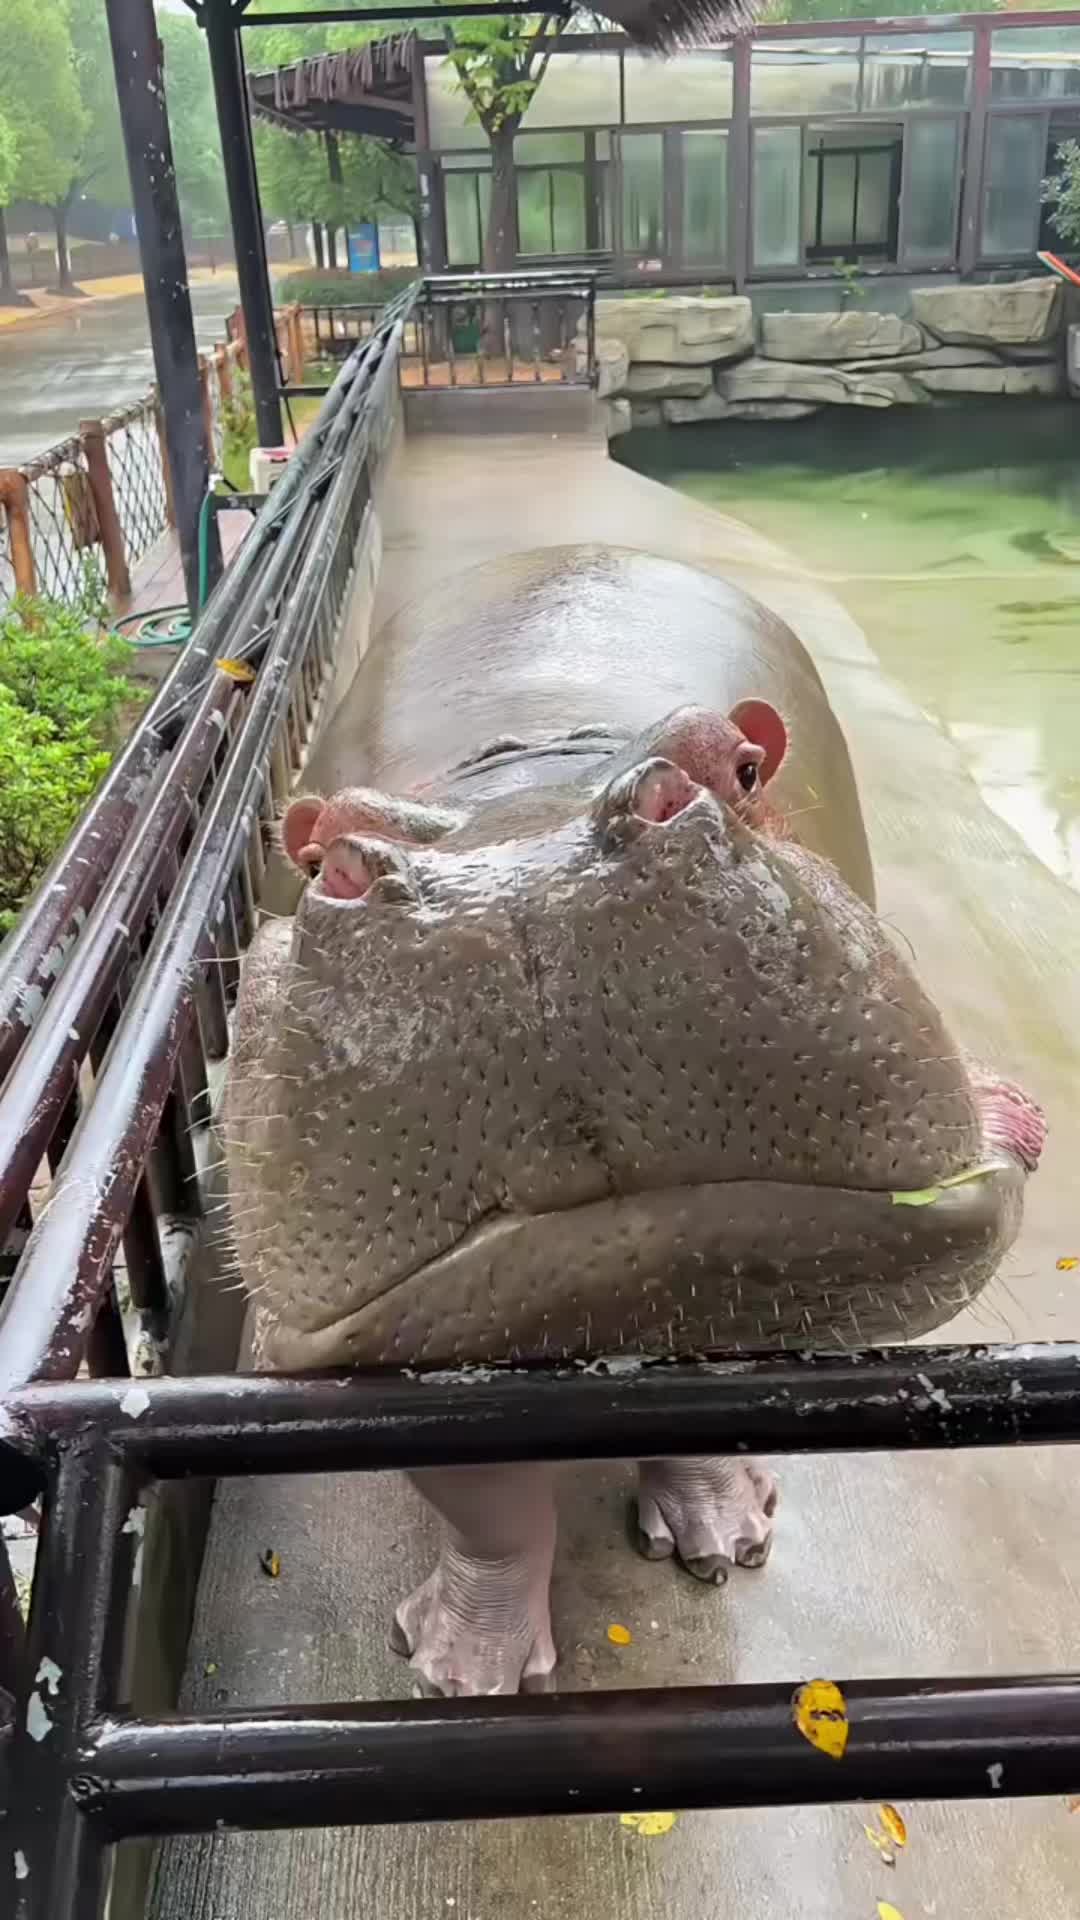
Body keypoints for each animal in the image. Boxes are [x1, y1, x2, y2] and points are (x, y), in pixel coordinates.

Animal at [225, 544, 1043, 1699]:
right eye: (318, 853)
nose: (523, 887)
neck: (525, 772)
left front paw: (723, 1537)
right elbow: (486, 1512)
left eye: (742, 766)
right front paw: (462, 1672)